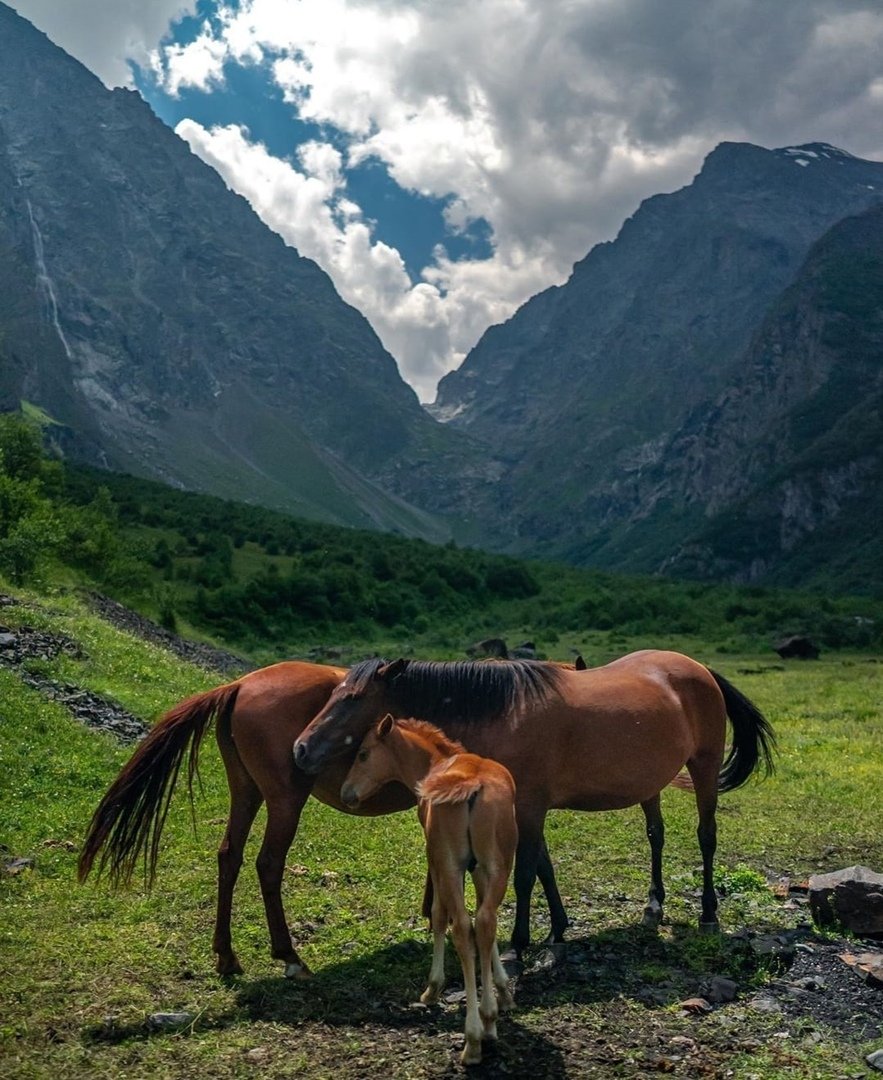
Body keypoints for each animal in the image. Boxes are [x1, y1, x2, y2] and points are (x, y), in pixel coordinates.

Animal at [79, 652, 565, 976]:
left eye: (351, 699)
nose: (303, 747)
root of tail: (238, 685)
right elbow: (531, 860)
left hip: (246, 793)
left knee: (229, 856)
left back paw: (226, 955)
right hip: (284, 801)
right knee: (268, 864)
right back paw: (288, 955)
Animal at [291, 652, 768, 959]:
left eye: (352, 698)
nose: (301, 749)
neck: (503, 712)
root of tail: (699, 669)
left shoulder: (530, 806)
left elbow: (524, 875)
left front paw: (519, 944)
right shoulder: (527, 809)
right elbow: (543, 867)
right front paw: (558, 927)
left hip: (704, 767)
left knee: (706, 838)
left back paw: (709, 912)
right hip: (650, 783)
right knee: (656, 836)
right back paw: (653, 905)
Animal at [338, 717, 515, 1062]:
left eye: (363, 753)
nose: (345, 792)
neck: (436, 763)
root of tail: (471, 785)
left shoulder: (435, 857)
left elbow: (438, 914)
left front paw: (433, 987)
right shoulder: (478, 869)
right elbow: (486, 924)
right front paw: (502, 992)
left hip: (449, 864)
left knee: (461, 927)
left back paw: (472, 1038)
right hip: (499, 865)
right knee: (485, 921)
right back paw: (488, 1020)